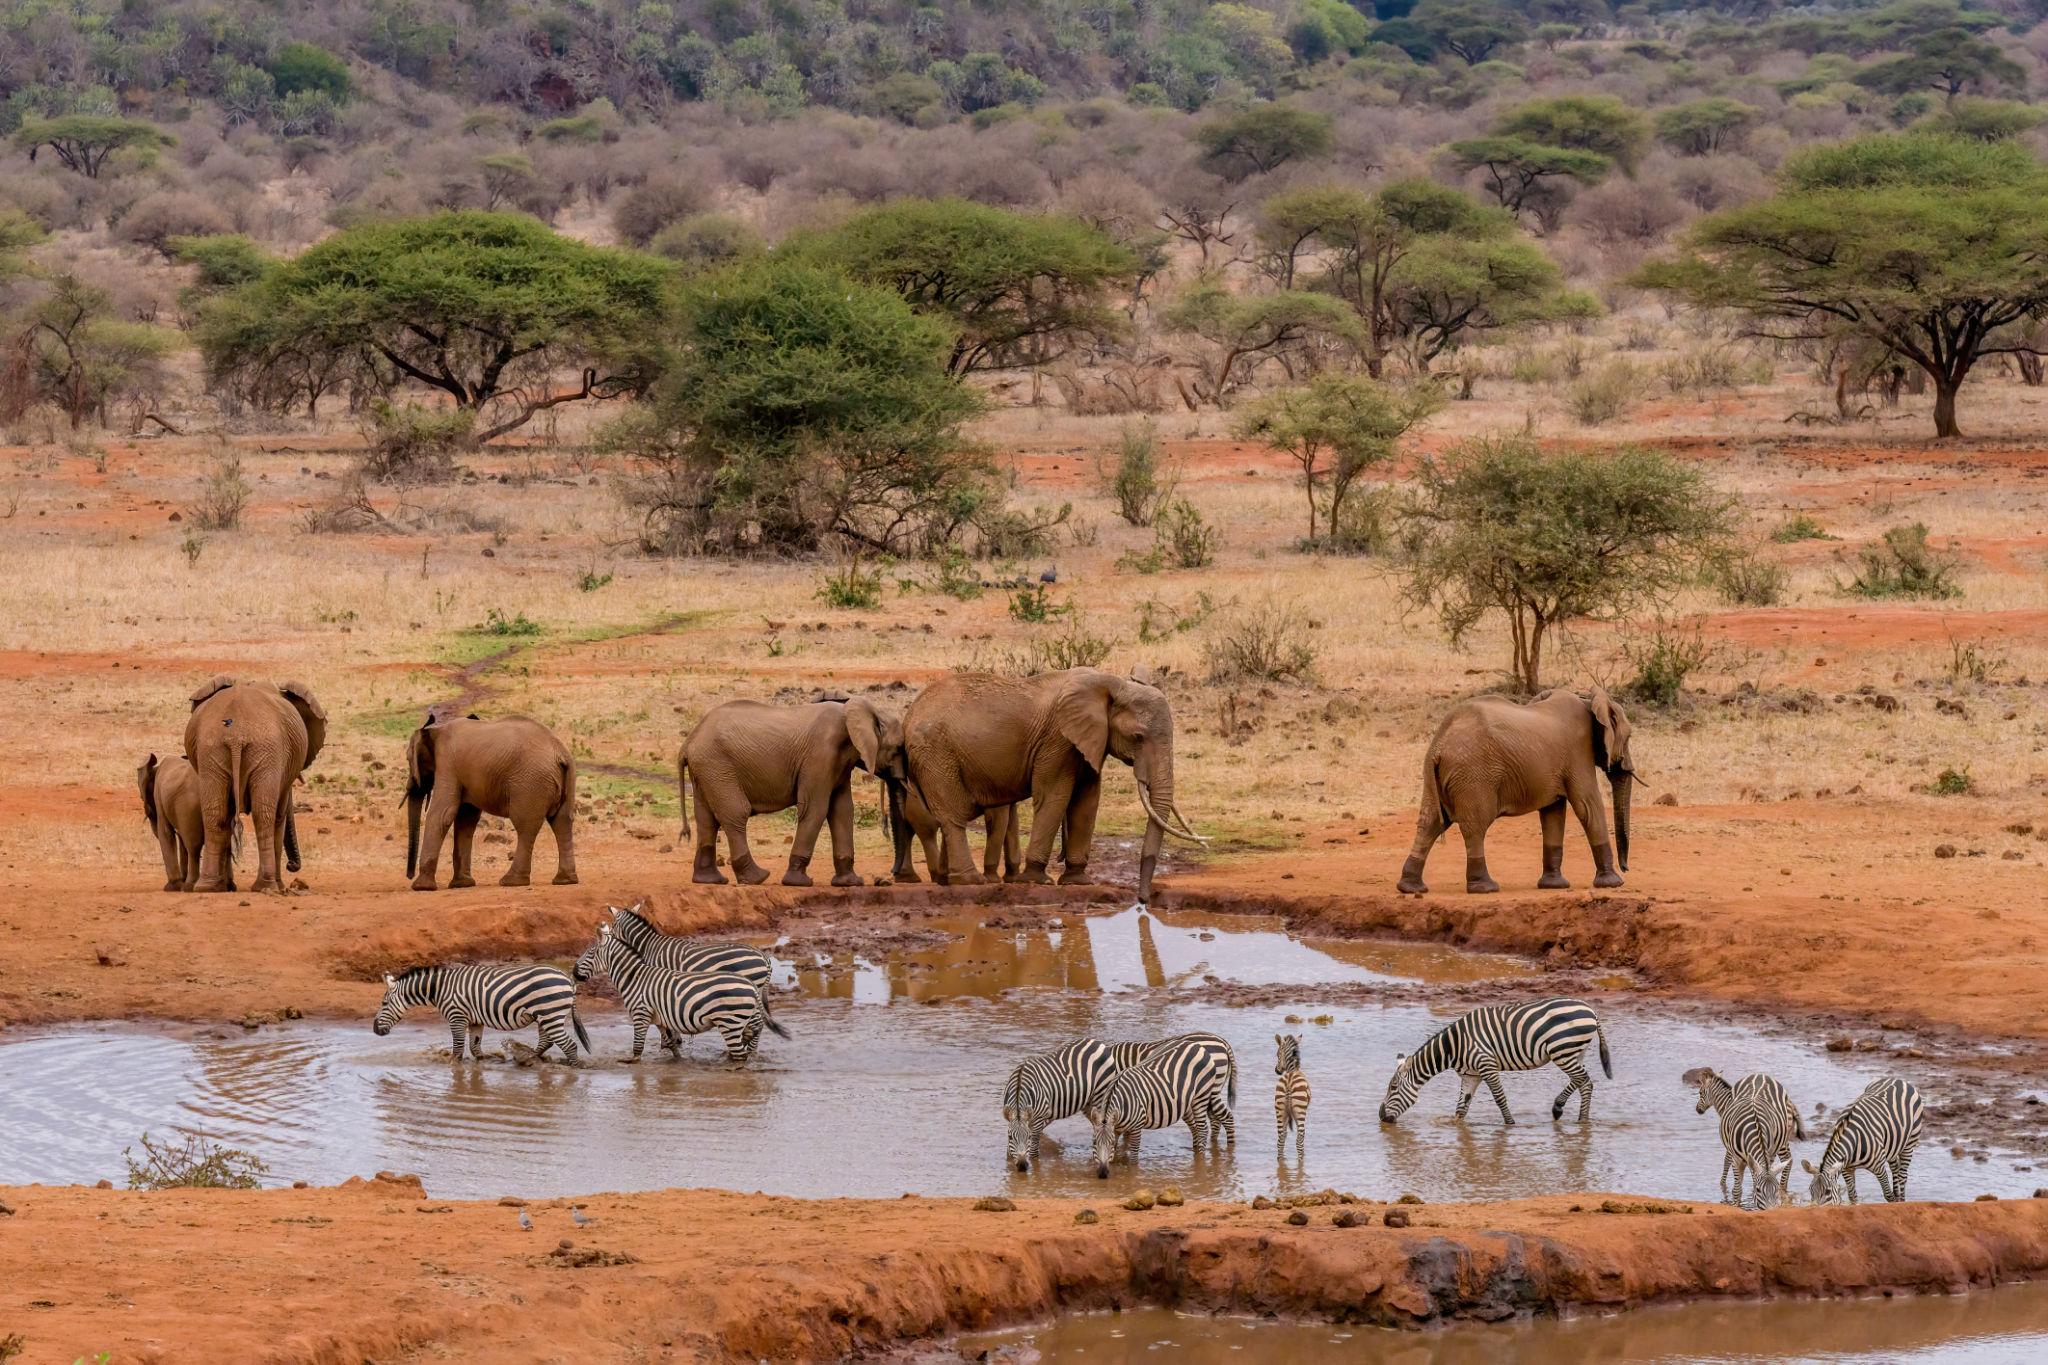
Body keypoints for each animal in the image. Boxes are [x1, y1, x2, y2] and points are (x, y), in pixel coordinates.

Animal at [183, 678, 326, 893]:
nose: (292, 866)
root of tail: (236, 735)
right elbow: (279, 817)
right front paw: (279, 885)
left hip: (213, 750)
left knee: (215, 816)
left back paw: (207, 887)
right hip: (267, 752)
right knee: (264, 816)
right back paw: (267, 886)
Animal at [406, 713, 577, 890]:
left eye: (408, 759)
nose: (409, 876)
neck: (435, 730)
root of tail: (561, 753)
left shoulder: (447, 763)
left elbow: (442, 813)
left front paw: (422, 887)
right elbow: (466, 818)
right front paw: (462, 884)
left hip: (531, 783)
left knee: (525, 826)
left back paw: (511, 882)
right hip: (564, 778)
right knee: (562, 821)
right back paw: (565, 880)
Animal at [678, 695, 905, 887]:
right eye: (898, 749)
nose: (892, 876)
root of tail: (687, 743)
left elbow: (842, 811)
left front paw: (850, 883)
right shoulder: (820, 755)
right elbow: (816, 809)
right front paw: (799, 883)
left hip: (707, 771)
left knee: (706, 819)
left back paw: (710, 880)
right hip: (717, 767)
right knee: (736, 813)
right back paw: (758, 878)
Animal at [900, 666, 1204, 905]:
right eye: (1138, 737)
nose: (1143, 900)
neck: (1111, 683)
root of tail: (909, 714)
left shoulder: (1088, 742)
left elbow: (1086, 803)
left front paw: (1078, 881)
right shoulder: (1058, 740)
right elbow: (1055, 797)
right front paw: (1037, 879)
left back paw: (945, 881)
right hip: (936, 755)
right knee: (953, 818)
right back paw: (971, 882)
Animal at [1397, 685, 1636, 896]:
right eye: (1629, 737)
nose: (1626, 869)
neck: (1588, 700)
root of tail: (1439, 743)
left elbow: (1553, 812)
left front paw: (1554, 886)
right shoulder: (1578, 752)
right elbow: (1587, 805)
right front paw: (1613, 883)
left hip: (1441, 778)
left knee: (1430, 823)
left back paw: (1411, 887)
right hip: (1473, 775)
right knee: (1475, 826)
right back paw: (1485, 887)